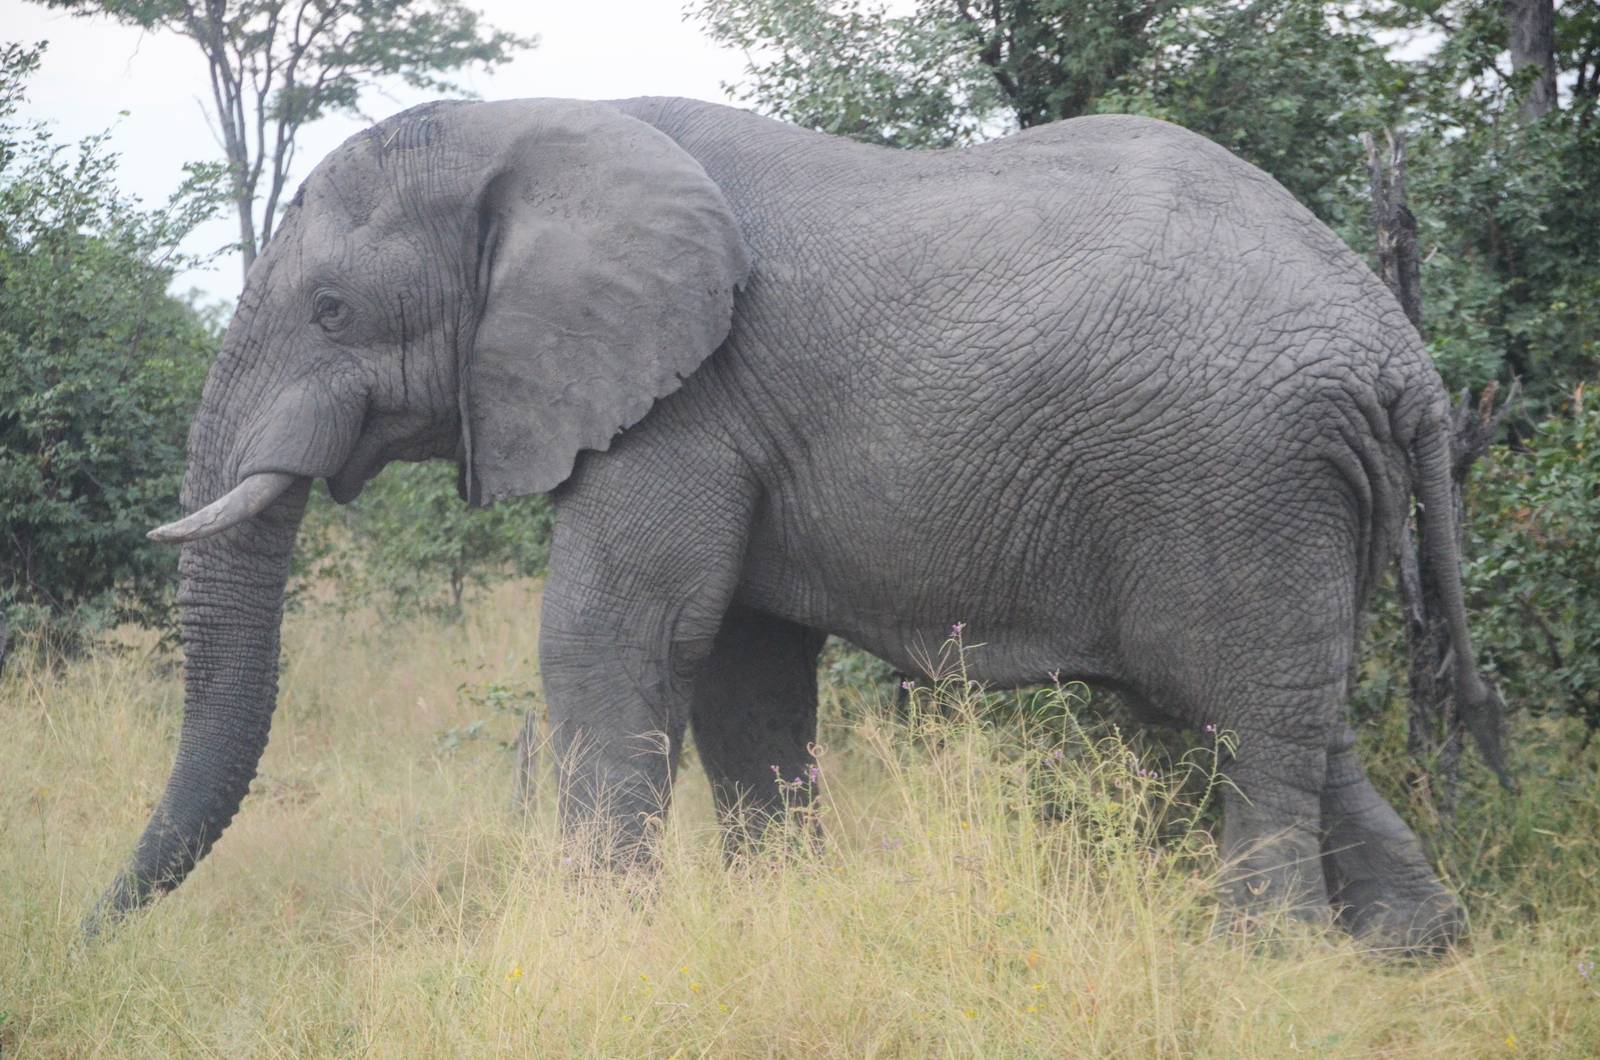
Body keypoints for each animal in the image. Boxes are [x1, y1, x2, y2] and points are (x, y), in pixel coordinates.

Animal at [87, 95, 1510, 954]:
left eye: (330, 312)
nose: (86, 935)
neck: (541, 126)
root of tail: (1410, 363)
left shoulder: (685, 399)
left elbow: (616, 641)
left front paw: (597, 945)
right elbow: (742, 675)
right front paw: (779, 921)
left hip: (1240, 479)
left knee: (1249, 718)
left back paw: (1267, 957)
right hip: (1278, 493)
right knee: (1282, 709)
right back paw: (1415, 948)